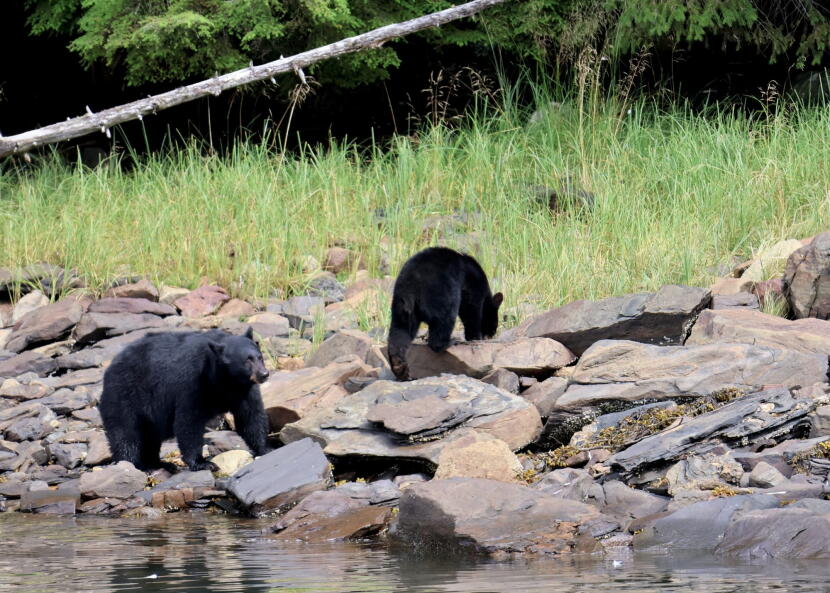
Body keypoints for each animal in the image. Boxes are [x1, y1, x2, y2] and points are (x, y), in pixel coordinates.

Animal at [99, 326, 272, 472]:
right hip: (124, 396)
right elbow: (188, 422)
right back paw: (135, 465)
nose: (264, 374)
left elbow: (251, 417)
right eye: (247, 360)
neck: (226, 381)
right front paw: (203, 463)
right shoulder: (193, 384)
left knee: (150, 438)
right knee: (126, 434)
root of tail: (110, 368)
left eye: (259, 357)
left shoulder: (244, 390)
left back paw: (158, 463)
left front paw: (265, 448)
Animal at [387, 246, 503, 380]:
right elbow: (471, 309)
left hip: (401, 306)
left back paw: (400, 369)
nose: (491, 335)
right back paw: (450, 342)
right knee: (445, 319)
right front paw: (475, 337)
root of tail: (410, 286)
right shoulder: (472, 285)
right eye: (494, 326)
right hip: (440, 293)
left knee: (400, 331)